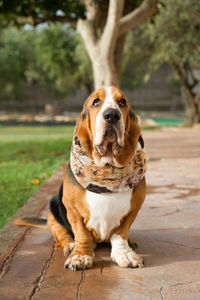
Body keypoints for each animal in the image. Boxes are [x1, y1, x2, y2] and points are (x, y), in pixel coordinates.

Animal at [14, 85, 148, 270]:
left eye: (122, 102)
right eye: (96, 102)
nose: (112, 115)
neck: (107, 170)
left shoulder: (133, 210)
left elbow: (120, 235)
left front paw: (125, 254)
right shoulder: (72, 209)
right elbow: (82, 235)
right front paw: (80, 256)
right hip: (53, 209)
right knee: (61, 234)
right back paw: (70, 245)